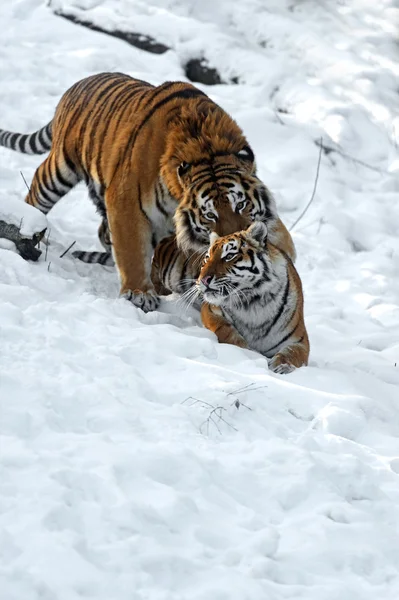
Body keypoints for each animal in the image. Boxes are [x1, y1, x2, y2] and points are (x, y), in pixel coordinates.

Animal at [0, 72, 296, 312]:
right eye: (209, 216)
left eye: (241, 205)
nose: (232, 245)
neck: (205, 148)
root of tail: (76, 85)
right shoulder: (126, 202)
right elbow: (132, 250)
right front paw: (138, 294)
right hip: (59, 169)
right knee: (37, 194)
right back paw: (28, 234)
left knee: (103, 231)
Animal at [152, 220, 310, 372]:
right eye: (207, 258)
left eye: (229, 256)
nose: (202, 279)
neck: (252, 302)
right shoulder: (211, 311)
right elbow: (227, 332)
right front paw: (249, 353)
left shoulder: (299, 340)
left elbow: (291, 353)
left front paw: (281, 366)